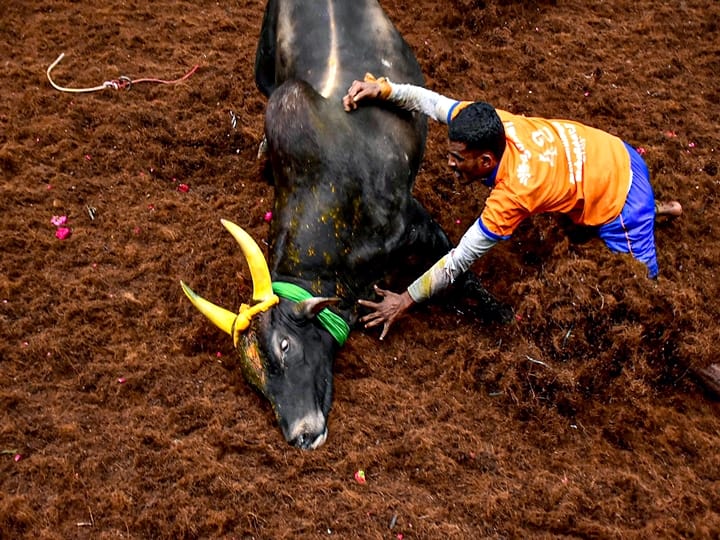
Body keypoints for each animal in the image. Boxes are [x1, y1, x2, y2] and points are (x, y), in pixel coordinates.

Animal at [181, 0, 510, 449]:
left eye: (284, 345)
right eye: (253, 379)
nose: (301, 435)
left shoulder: (419, 226)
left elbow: (459, 272)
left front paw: (502, 313)